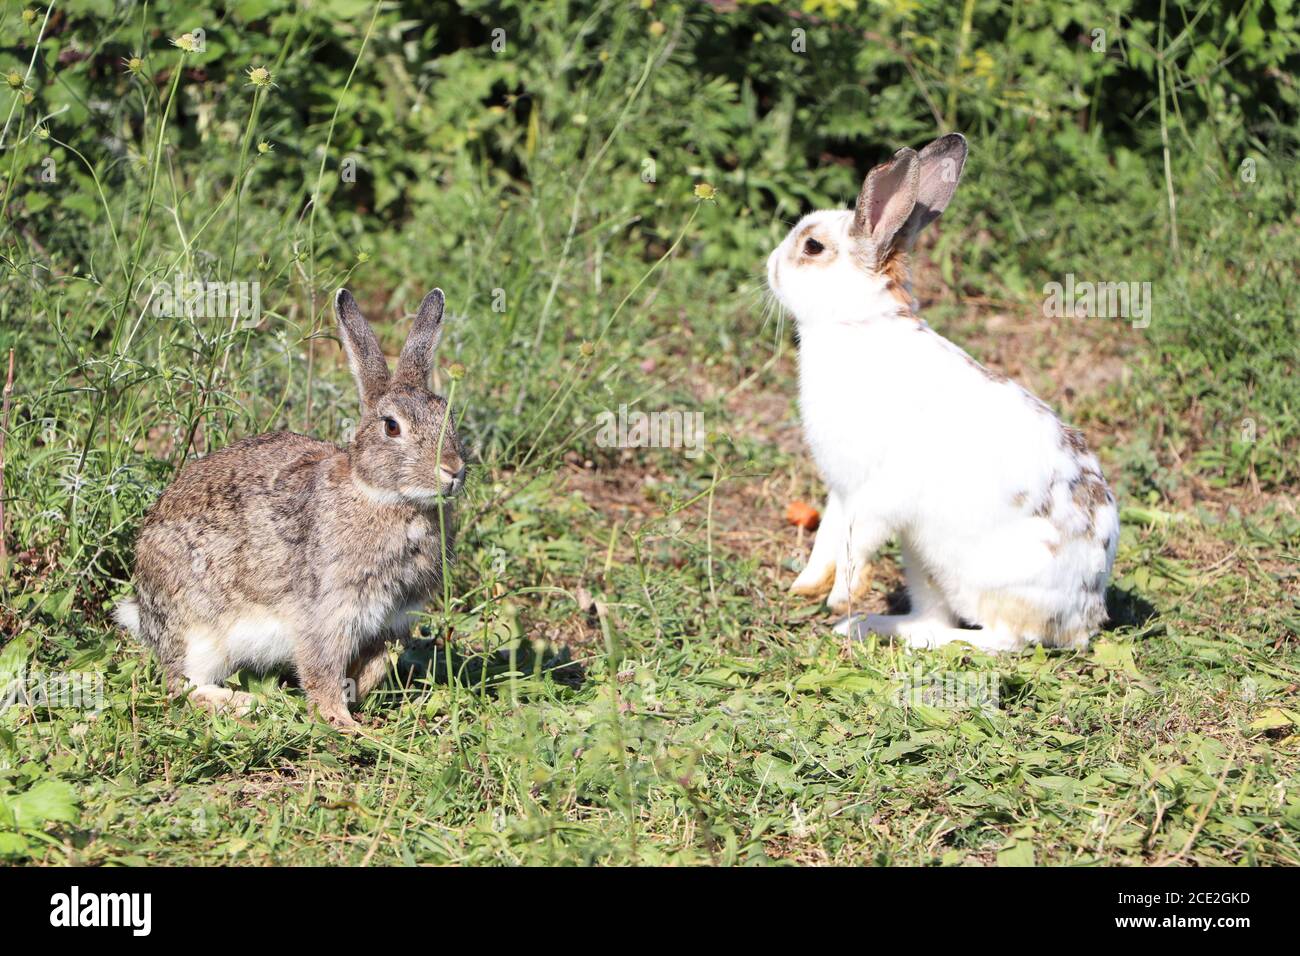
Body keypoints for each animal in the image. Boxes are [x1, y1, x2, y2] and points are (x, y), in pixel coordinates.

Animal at [113, 287, 468, 728]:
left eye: (448, 415)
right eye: (391, 426)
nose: (453, 469)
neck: (384, 498)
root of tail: (143, 613)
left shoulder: (389, 622)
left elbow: (372, 668)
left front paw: (354, 703)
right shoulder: (327, 614)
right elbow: (321, 672)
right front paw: (342, 724)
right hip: (198, 628)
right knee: (182, 687)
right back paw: (244, 703)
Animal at [767, 133, 1118, 652]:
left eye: (812, 246)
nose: (770, 265)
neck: (855, 323)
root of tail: (1084, 616)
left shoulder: (879, 491)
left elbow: (858, 539)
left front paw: (841, 594)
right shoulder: (840, 490)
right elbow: (829, 535)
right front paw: (808, 586)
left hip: (989, 579)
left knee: (1000, 639)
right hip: (920, 558)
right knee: (933, 614)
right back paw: (869, 625)